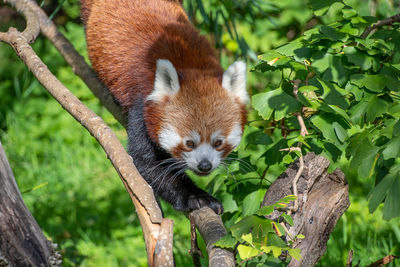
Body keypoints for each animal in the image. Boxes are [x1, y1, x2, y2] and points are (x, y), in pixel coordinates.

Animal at [81, 0, 247, 214]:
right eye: (189, 143)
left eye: (218, 142)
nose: (205, 166)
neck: (193, 70)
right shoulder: (142, 107)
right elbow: (147, 162)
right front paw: (197, 196)